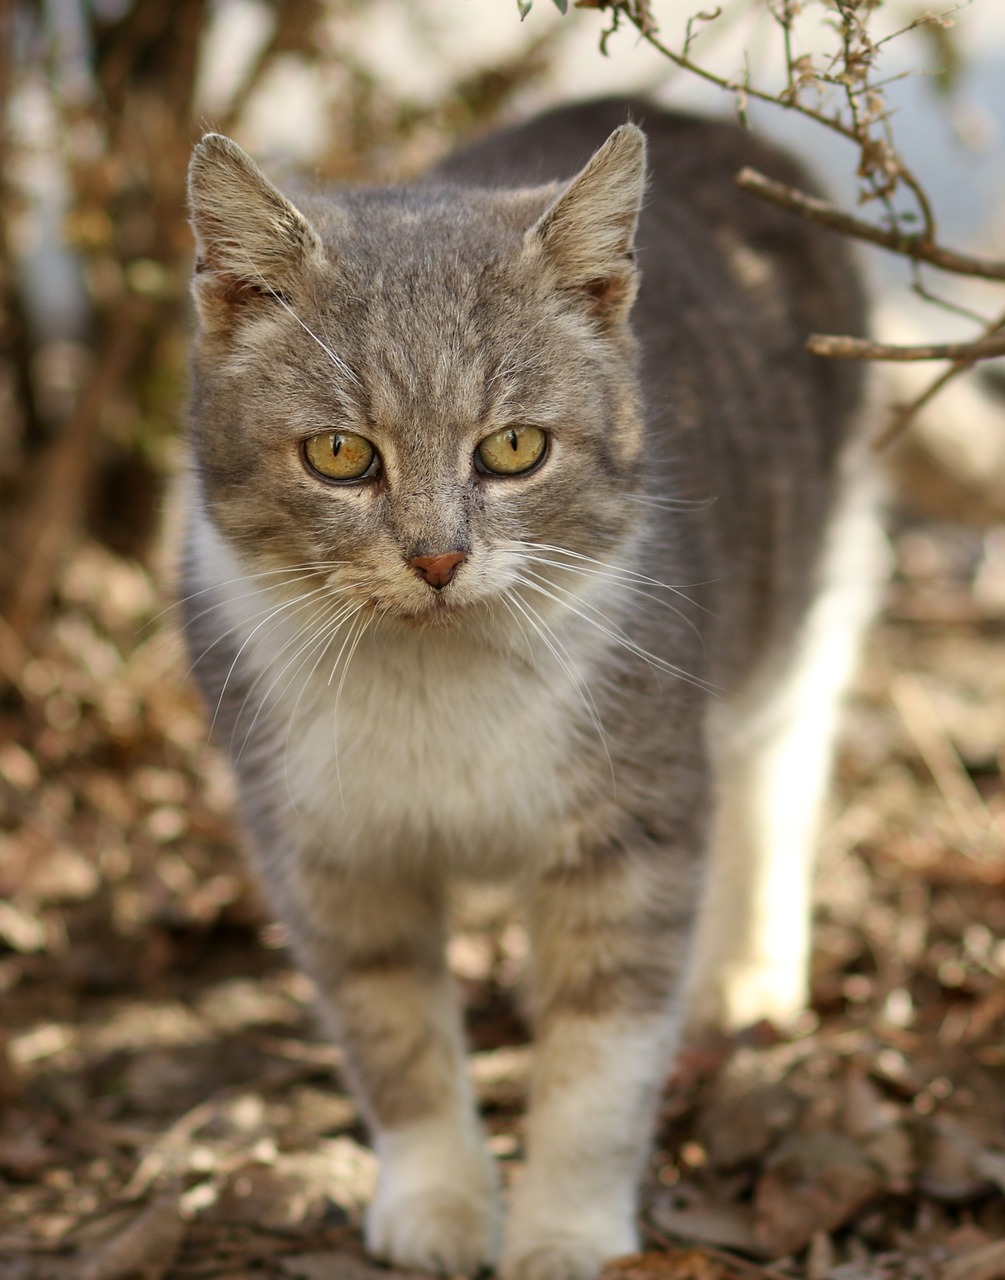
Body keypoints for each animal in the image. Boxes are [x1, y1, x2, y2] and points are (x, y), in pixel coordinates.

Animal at [180, 99, 880, 1280]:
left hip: (805, 607)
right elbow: (394, 1036)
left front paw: (566, 1232)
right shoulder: (326, 853)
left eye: (512, 447)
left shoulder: (632, 833)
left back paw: (744, 970)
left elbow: (599, 1063)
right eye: (339, 455)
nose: (436, 557)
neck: (437, 685)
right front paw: (440, 1202)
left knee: (779, 779)